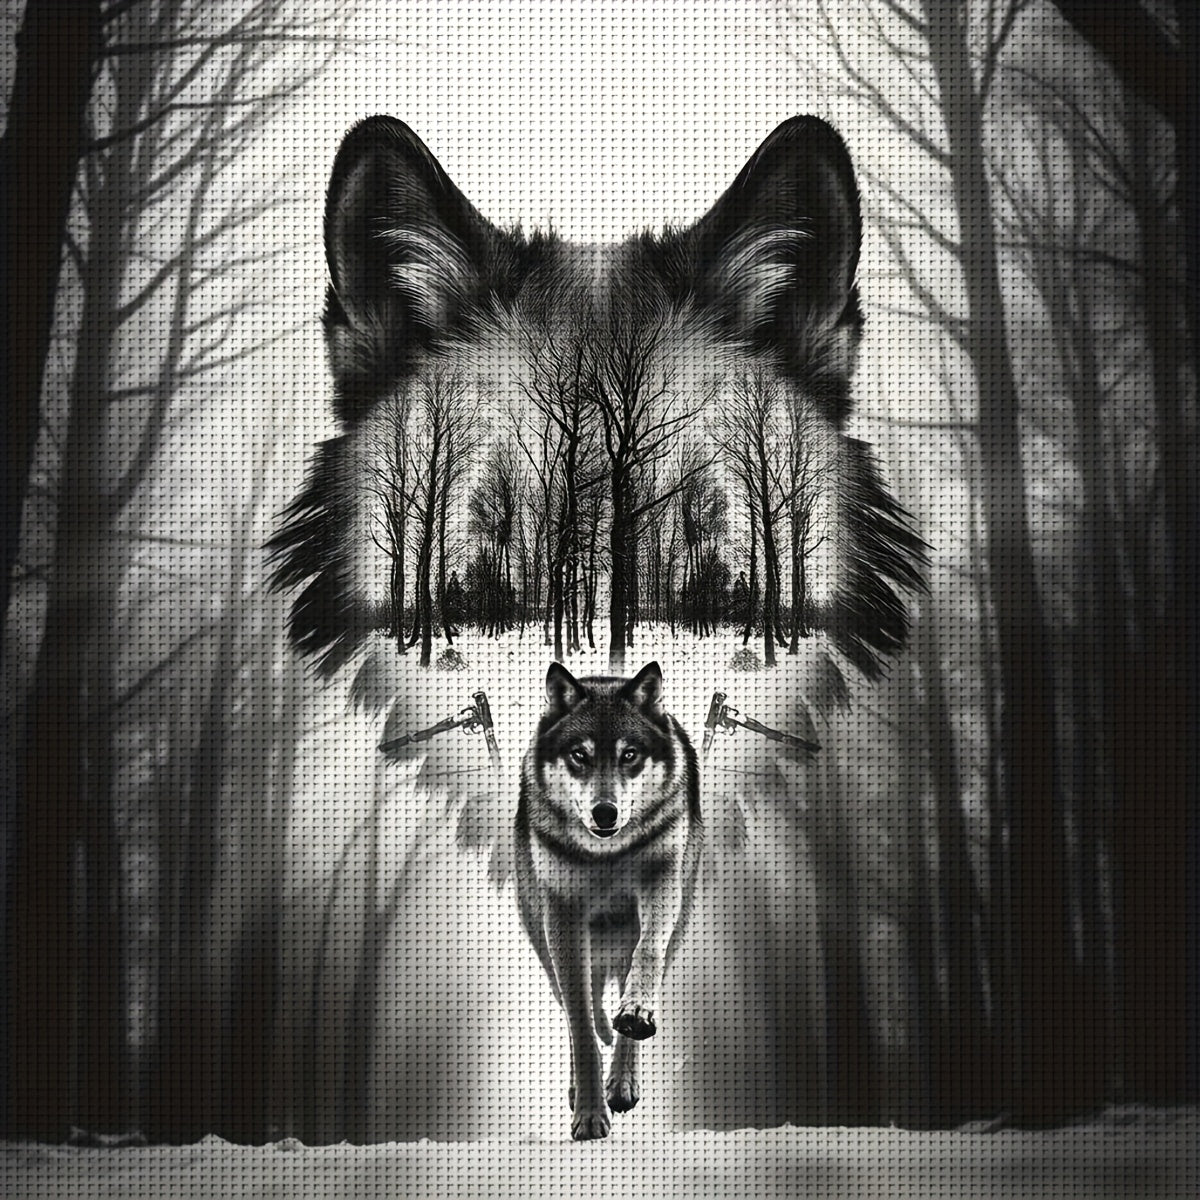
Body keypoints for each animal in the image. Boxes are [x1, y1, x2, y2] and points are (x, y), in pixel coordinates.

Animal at [515, 661, 702, 1140]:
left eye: (629, 755)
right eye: (579, 755)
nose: (605, 813)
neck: (607, 855)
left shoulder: (661, 882)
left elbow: (646, 954)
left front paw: (634, 1015)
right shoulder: (562, 916)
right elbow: (580, 1021)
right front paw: (588, 1114)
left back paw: (622, 1078)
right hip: (544, 939)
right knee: (575, 1006)